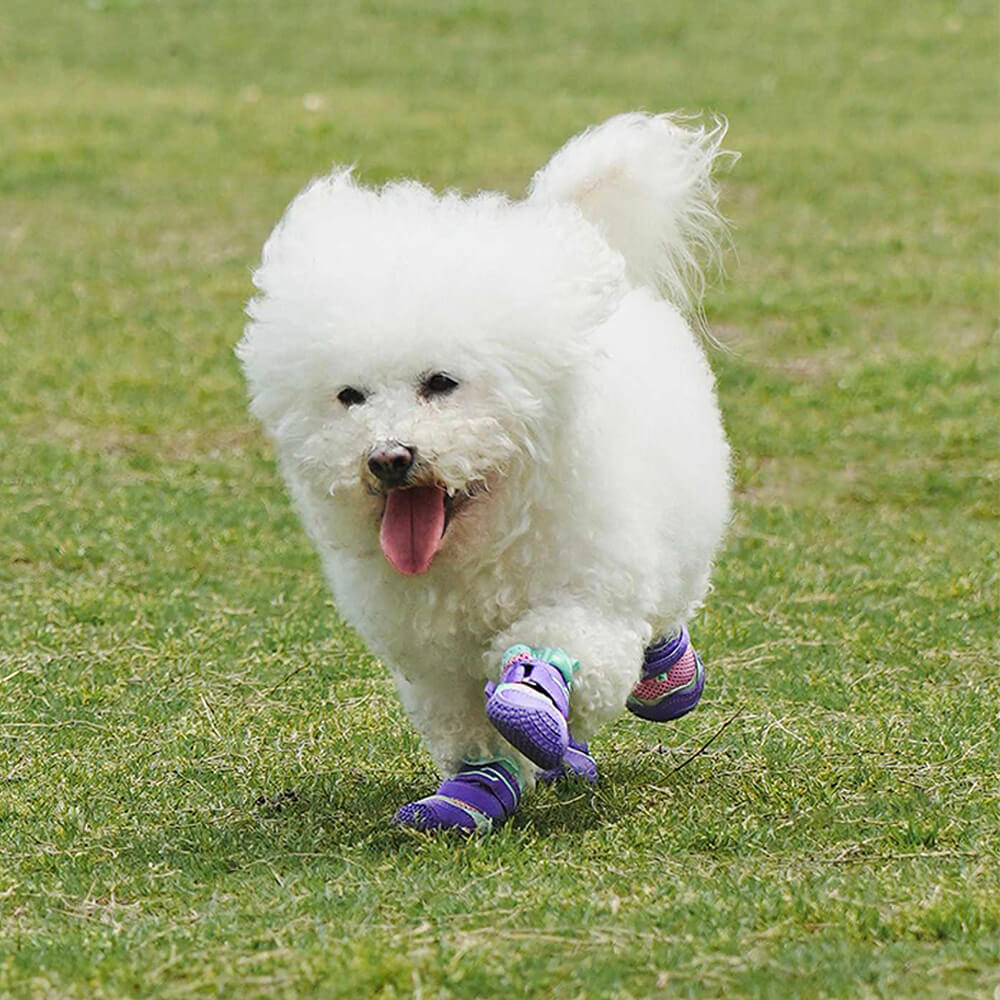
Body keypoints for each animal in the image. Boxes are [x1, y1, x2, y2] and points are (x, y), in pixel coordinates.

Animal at [238, 113, 732, 832]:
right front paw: (472, 794)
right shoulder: (432, 658)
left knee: (664, 616)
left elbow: (562, 653)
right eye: (349, 396)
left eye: (442, 383)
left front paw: (532, 699)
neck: (481, 543)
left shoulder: (589, 598)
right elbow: (466, 727)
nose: (388, 457)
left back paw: (666, 679)